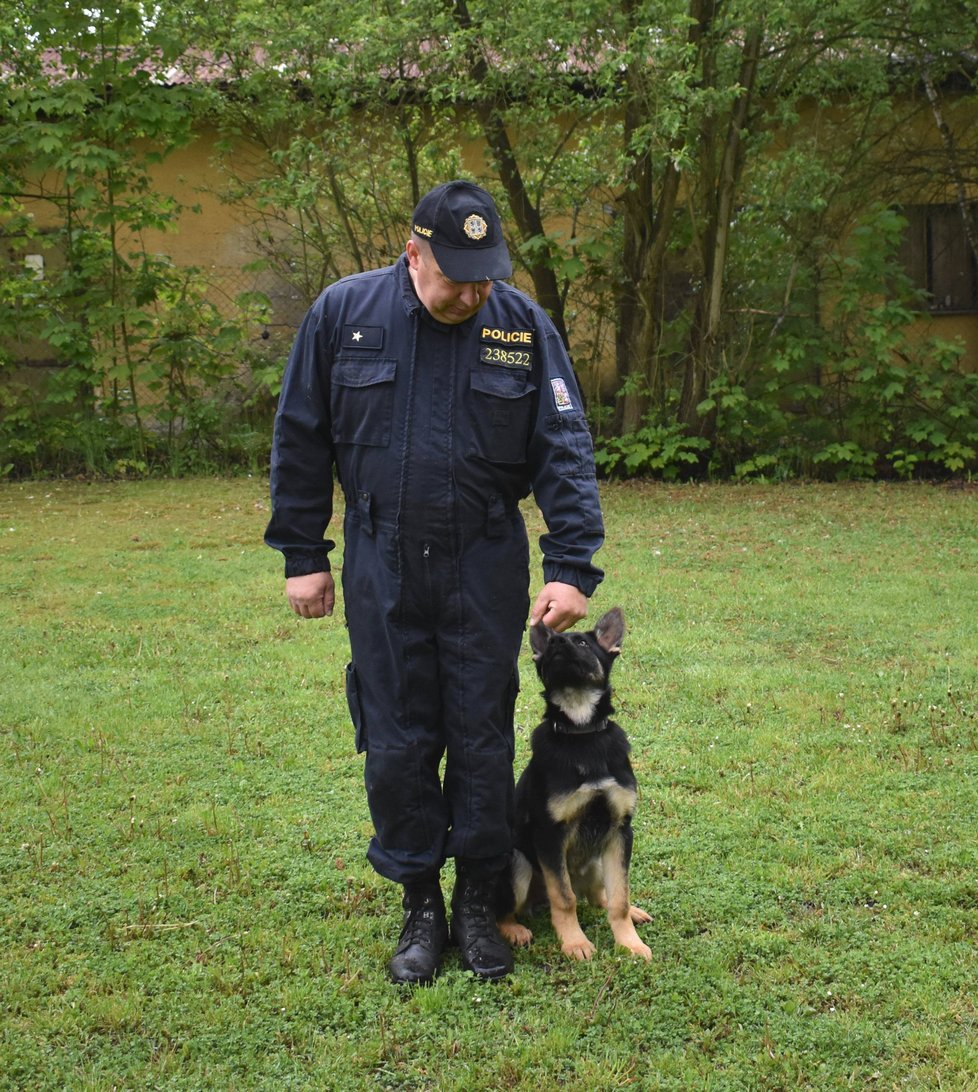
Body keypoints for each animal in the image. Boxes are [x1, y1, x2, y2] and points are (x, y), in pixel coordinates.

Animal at [497, 611, 650, 960]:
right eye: (553, 642)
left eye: (581, 642)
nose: (555, 641)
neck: (582, 733)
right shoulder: (550, 835)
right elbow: (564, 899)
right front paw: (575, 942)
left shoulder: (620, 831)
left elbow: (619, 898)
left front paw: (630, 942)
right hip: (518, 863)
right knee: (501, 912)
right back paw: (514, 930)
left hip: (596, 860)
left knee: (599, 897)